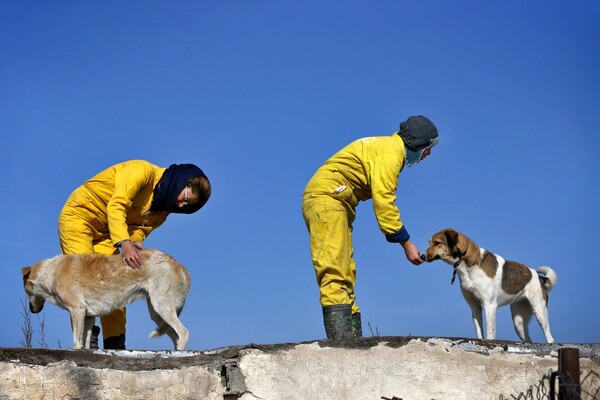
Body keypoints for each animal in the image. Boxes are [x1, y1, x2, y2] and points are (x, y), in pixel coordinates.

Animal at [21, 250, 190, 350]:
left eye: (26, 291)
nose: (32, 310)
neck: (52, 272)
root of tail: (179, 265)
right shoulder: (88, 316)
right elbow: (86, 341)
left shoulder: (77, 310)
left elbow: (77, 341)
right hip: (157, 314)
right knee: (175, 335)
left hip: (161, 307)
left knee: (183, 332)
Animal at [422, 228, 556, 344]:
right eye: (429, 242)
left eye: (437, 243)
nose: (422, 256)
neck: (466, 262)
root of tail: (539, 277)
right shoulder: (475, 307)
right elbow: (479, 332)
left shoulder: (490, 306)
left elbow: (490, 333)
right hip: (518, 322)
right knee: (528, 339)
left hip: (539, 311)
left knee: (550, 337)